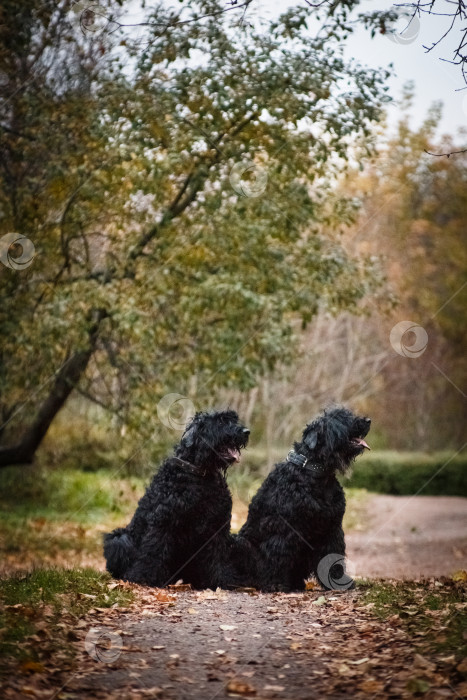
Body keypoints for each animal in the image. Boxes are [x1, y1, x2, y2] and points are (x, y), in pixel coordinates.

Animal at [104, 410, 250, 592]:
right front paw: (144, 577)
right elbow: (154, 552)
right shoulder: (163, 522)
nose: (246, 432)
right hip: (118, 539)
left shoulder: (216, 527)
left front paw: (220, 580)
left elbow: (217, 557)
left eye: (233, 419)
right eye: (221, 422)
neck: (200, 475)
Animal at [234, 404, 372, 592]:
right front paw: (276, 584)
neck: (315, 474)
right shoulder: (284, 528)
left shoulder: (332, 528)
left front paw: (338, 581)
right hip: (241, 543)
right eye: (340, 418)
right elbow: (277, 553)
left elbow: (332, 555)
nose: (368, 420)